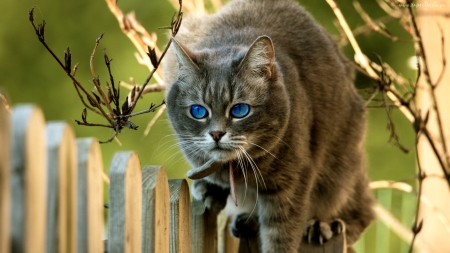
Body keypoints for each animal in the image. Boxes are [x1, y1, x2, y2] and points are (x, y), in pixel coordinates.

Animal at [163, 0, 374, 252]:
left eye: (240, 110)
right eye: (198, 111)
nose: (216, 133)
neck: (237, 170)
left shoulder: (291, 185)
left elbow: (280, 236)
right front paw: (208, 188)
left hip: (343, 166)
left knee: (361, 212)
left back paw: (323, 225)